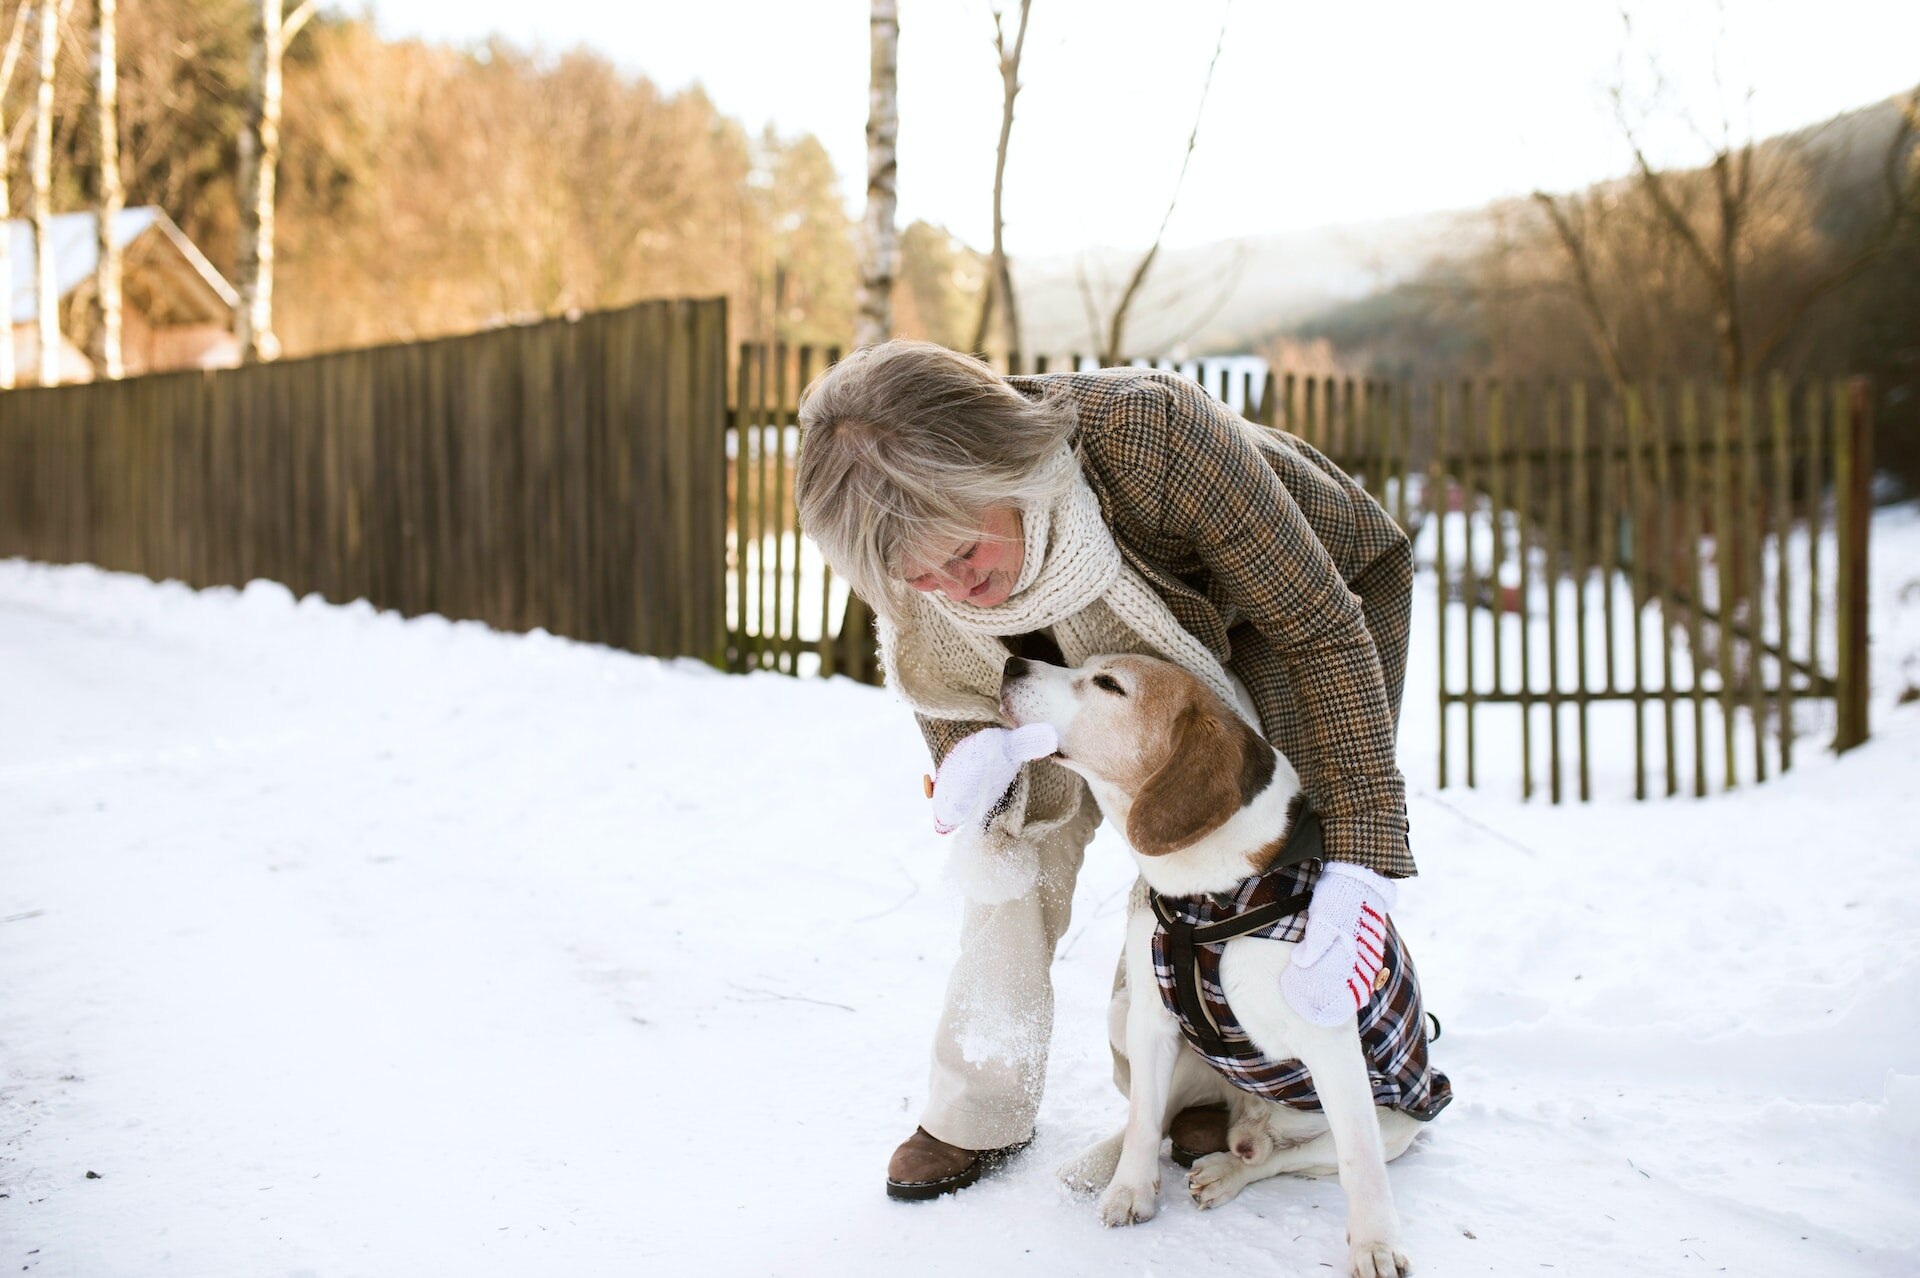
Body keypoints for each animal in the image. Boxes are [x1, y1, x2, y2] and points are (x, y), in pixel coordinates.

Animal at [1006, 652, 1428, 1274]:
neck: (1212, 897)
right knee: (1153, 1117)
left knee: (1277, 1158)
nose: (1012, 663)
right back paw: (1099, 1163)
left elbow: (1360, 1164)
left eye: (1108, 684)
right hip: (1153, 1035)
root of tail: (1250, 1117)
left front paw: (1375, 1244)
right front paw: (1130, 1190)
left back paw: (1228, 1169)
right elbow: (1141, 1125)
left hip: (1397, 1123)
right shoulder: (1154, 1021)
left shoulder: (1332, 1047)